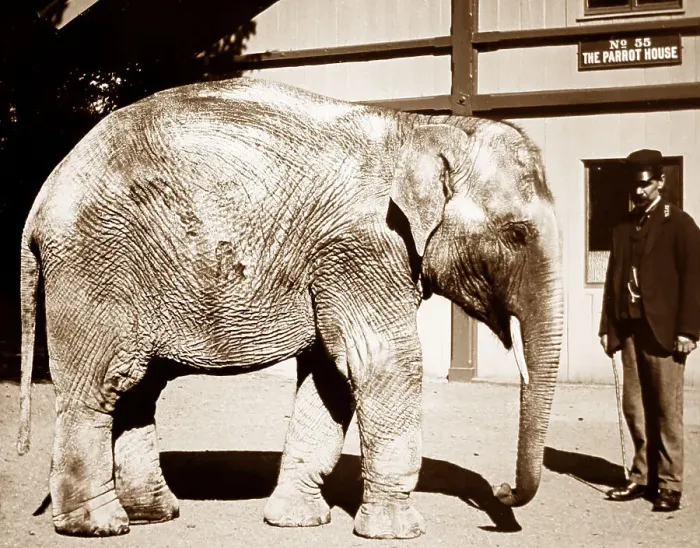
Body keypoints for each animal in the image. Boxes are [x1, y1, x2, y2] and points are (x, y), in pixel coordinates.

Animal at [16, 76, 563, 539]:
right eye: (517, 234)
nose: (501, 491)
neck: (424, 127)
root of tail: (40, 200)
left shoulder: (341, 259)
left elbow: (330, 376)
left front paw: (296, 522)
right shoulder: (363, 246)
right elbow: (383, 364)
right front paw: (398, 532)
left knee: (138, 390)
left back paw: (154, 514)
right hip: (95, 265)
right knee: (102, 384)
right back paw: (100, 526)